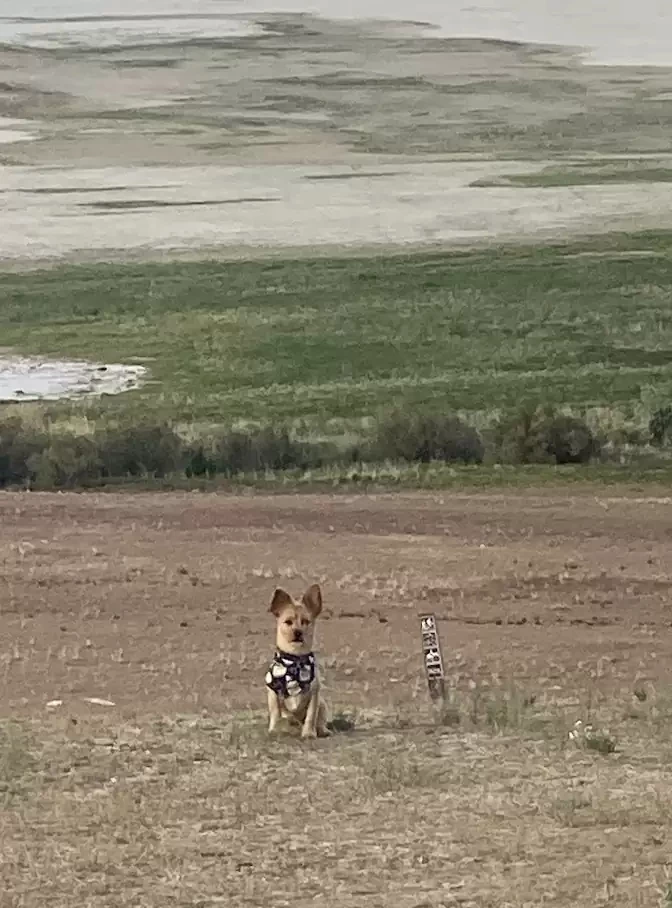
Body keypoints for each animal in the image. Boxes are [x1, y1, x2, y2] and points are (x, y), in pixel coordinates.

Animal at [268, 580, 330, 736]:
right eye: (288, 622)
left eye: (306, 622)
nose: (298, 632)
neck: (294, 660)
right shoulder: (273, 693)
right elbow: (276, 712)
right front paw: (275, 729)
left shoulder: (314, 694)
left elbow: (311, 715)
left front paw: (308, 733)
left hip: (323, 704)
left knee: (320, 719)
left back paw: (322, 730)